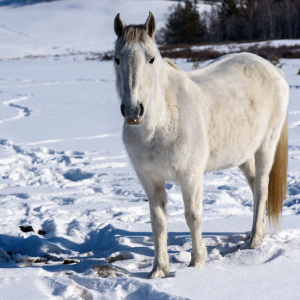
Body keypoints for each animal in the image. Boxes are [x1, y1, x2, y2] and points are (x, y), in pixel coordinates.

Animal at [112, 12, 288, 278]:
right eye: (116, 59)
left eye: (151, 59)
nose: (133, 111)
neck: (160, 123)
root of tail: (272, 69)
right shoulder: (150, 180)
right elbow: (158, 223)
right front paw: (158, 270)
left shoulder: (190, 176)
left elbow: (193, 216)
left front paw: (197, 263)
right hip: (244, 155)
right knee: (255, 187)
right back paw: (257, 233)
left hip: (266, 146)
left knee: (261, 188)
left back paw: (255, 240)